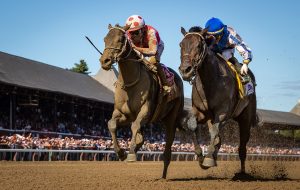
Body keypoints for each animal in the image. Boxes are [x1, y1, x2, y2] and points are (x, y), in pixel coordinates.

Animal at [99, 24, 185, 179]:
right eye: (105, 39)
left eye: (120, 39)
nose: (105, 61)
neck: (130, 83)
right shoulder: (123, 113)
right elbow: (112, 124)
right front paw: (121, 153)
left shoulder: (145, 110)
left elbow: (135, 126)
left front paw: (131, 153)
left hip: (172, 118)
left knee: (168, 149)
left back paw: (163, 176)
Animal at [178, 26, 258, 174]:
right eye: (181, 44)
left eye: (199, 45)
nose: (185, 70)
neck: (211, 80)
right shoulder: (201, 112)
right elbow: (193, 126)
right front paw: (201, 157)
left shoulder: (222, 113)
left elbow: (215, 132)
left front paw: (208, 158)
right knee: (217, 138)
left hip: (246, 118)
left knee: (242, 147)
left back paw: (242, 173)